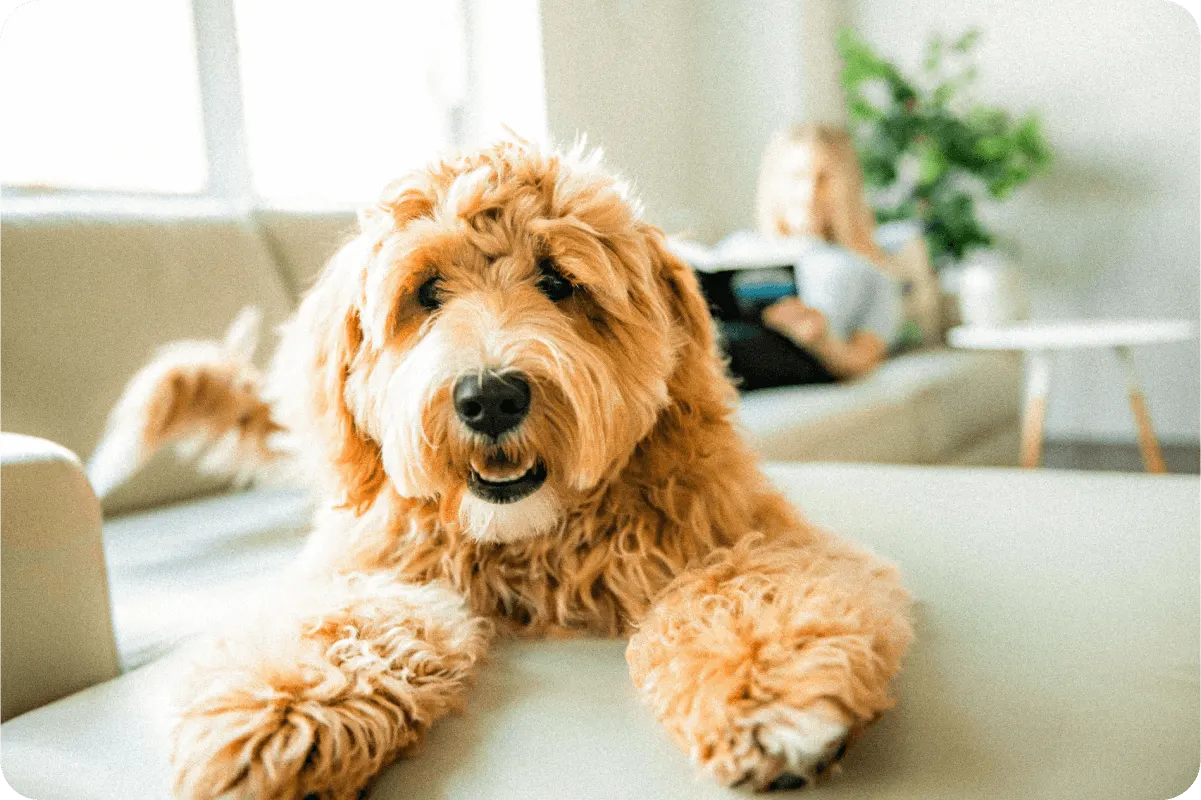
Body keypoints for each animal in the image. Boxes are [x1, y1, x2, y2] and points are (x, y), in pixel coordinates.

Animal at [93, 139, 912, 792]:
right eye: (426, 292)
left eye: (558, 282)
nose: (489, 398)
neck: (531, 542)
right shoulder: (371, 565)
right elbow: (347, 621)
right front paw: (280, 712)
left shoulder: (753, 535)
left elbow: (745, 590)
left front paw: (769, 694)